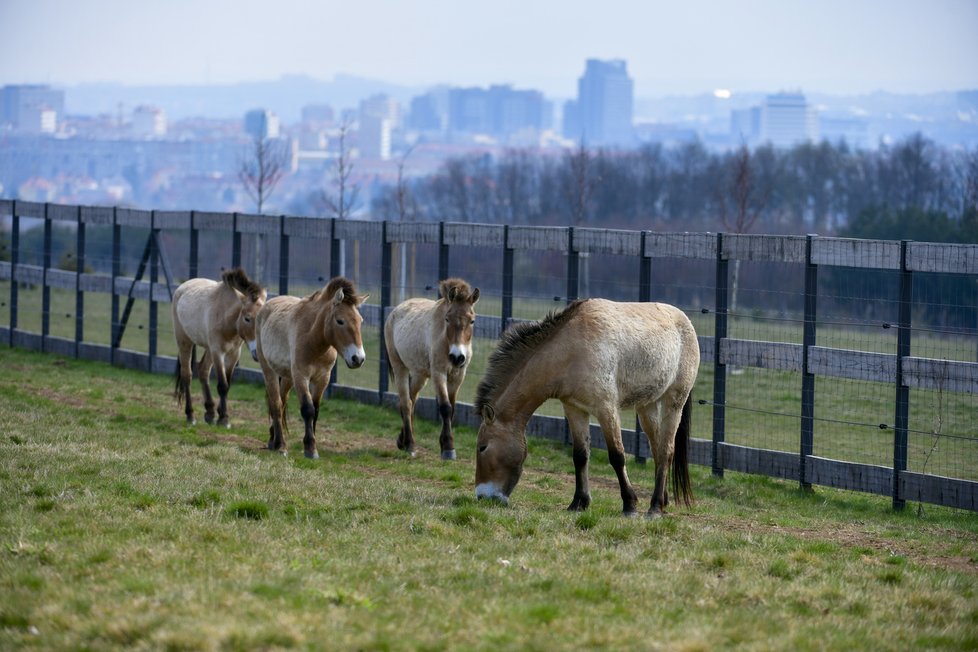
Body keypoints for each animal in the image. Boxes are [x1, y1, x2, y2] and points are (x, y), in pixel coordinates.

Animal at [171, 266, 264, 428]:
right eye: (247, 318)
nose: (258, 353)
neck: (226, 317)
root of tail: (182, 288)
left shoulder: (234, 354)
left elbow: (227, 384)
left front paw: (221, 414)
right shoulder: (218, 352)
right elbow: (222, 385)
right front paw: (224, 420)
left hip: (208, 349)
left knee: (203, 371)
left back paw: (209, 412)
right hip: (185, 342)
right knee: (187, 375)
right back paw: (190, 415)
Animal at [255, 276, 366, 458]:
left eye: (360, 321)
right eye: (340, 321)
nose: (358, 358)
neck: (313, 338)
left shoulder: (323, 378)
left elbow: (316, 410)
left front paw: (312, 445)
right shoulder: (301, 376)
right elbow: (308, 409)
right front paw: (310, 448)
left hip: (287, 377)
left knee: (282, 402)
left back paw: (272, 440)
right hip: (269, 371)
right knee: (276, 404)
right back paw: (280, 444)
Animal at [386, 278, 484, 460]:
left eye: (472, 320)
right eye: (447, 319)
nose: (457, 357)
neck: (446, 341)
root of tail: (395, 311)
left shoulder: (458, 376)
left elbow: (452, 409)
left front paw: (446, 444)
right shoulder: (439, 374)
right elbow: (445, 407)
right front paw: (448, 448)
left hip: (420, 375)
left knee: (411, 400)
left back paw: (402, 440)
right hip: (399, 367)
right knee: (406, 403)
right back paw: (410, 444)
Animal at [470, 298, 692, 516]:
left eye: (482, 447)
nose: (482, 496)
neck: (570, 351)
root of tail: (684, 319)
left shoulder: (606, 409)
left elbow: (617, 456)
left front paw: (630, 505)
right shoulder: (575, 409)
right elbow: (580, 456)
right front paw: (579, 503)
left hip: (674, 403)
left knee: (666, 450)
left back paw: (655, 507)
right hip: (647, 407)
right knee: (657, 450)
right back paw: (663, 501)